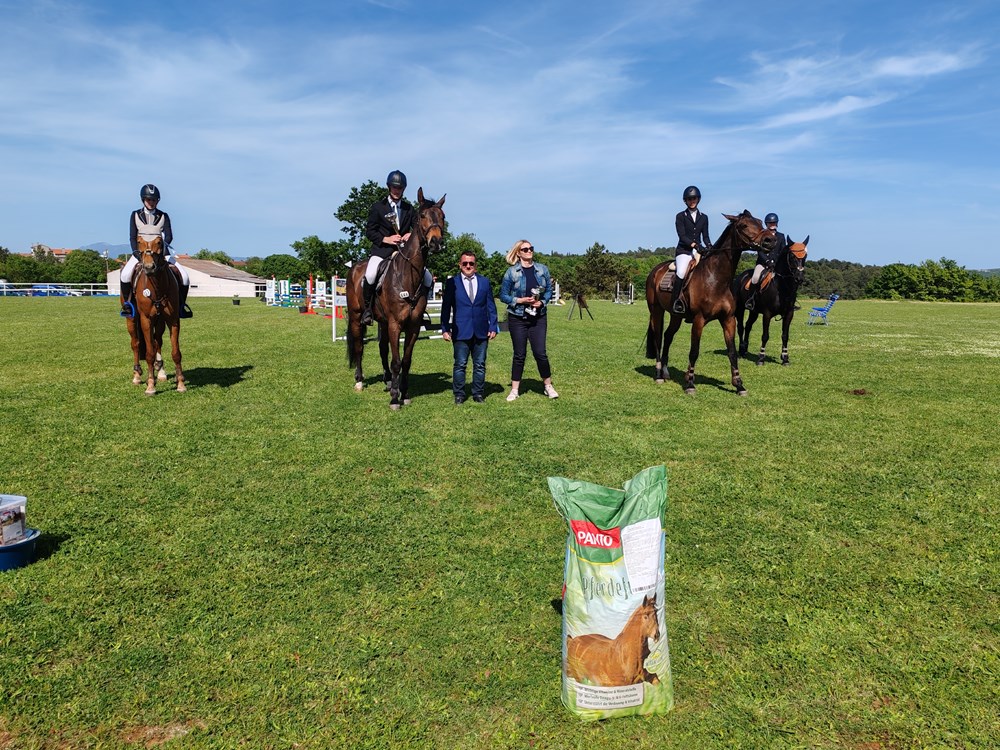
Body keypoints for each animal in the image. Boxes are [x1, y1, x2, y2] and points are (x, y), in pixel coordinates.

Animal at [123, 238, 186, 396]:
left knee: (158, 341)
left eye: (159, 242)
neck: (157, 286)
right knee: (136, 343)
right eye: (139, 241)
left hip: (160, 322)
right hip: (132, 320)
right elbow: (149, 353)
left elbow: (176, 352)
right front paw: (150, 385)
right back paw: (137, 376)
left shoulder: (172, 320)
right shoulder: (146, 320)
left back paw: (162, 372)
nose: (149, 267)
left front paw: (180, 383)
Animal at [348, 188, 450, 412]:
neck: (407, 275)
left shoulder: (412, 326)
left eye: (443, 217)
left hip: (383, 322)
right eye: (422, 216)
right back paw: (359, 381)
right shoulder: (395, 324)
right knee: (359, 347)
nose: (436, 243)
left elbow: (405, 361)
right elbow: (396, 361)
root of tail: (355, 267)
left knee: (382, 349)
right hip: (357, 317)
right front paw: (395, 399)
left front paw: (404, 393)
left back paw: (388, 381)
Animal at [644, 209, 776, 396]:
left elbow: (732, 352)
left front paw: (739, 385)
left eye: (759, 222)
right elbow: (694, 351)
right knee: (658, 338)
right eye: (744, 225)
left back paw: (665, 371)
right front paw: (690, 383)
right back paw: (658, 375)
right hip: (656, 311)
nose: (771, 240)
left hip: (676, 316)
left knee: (668, 335)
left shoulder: (728, 319)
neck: (715, 278)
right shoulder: (699, 320)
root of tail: (655, 270)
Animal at [736, 235, 812, 364]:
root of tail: (740, 276)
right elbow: (765, 335)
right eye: (792, 256)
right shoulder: (767, 314)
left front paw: (785, 358)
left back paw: (745, 348)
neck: (782, 287)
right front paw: (761, 358)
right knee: (741, 327)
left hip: (754, 311)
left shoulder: (789, 314)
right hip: (740, 309)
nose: (799, 278)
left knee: (748, 325)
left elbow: (785, 336)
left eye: (805, 256)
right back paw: (741, 351)